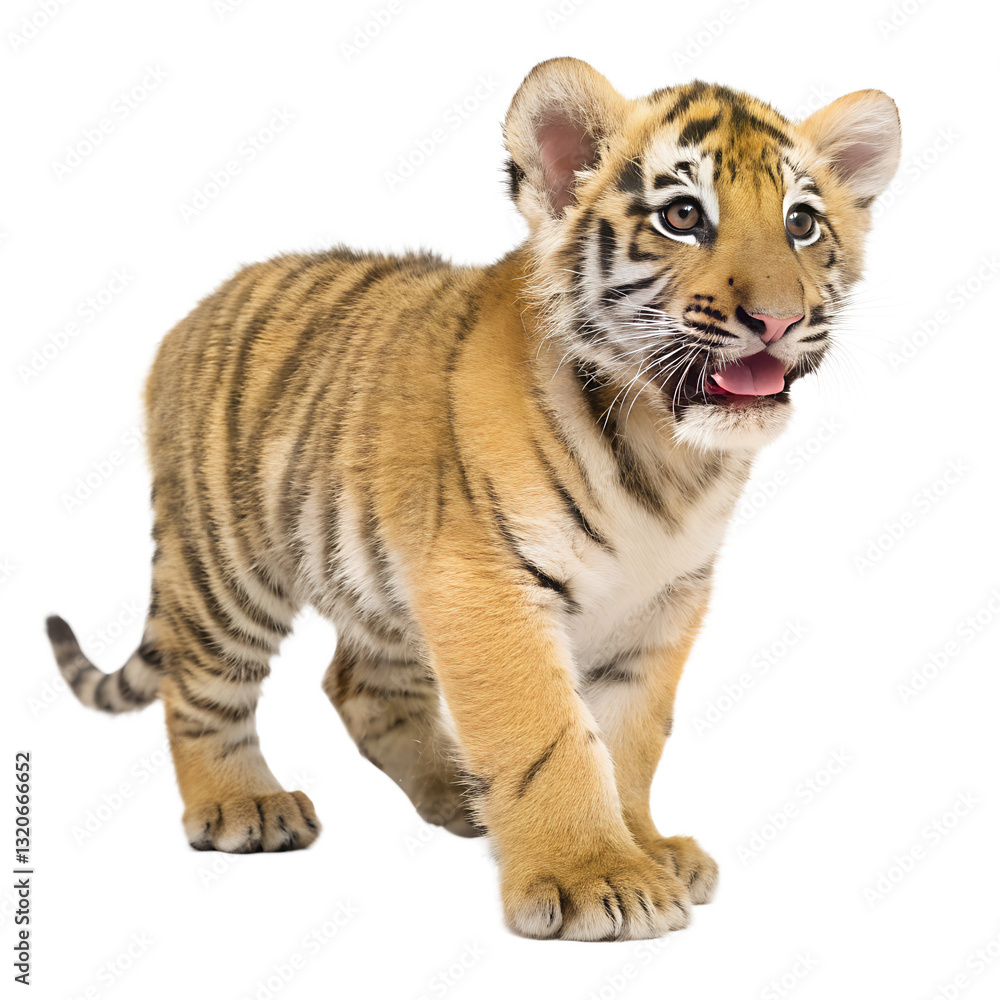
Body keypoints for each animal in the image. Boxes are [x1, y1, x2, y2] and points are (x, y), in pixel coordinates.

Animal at [46, 57, 900, 941]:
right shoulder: (486, 582)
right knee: (199, 688)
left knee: (360, 684)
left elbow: (629, 736)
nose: (781, 319)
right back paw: (243, 805)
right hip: (227, 565)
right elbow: (548, 734)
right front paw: (593, 878)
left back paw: (462, 794)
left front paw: (645, 847)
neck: (667, 455)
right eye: (683, 215)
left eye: (802, 223)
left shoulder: (663, 602)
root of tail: (190, 314)